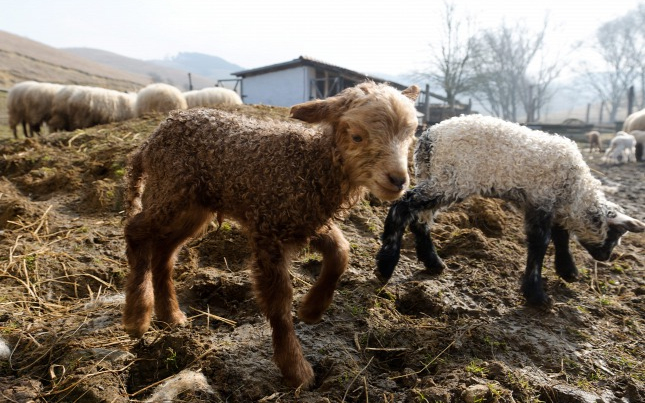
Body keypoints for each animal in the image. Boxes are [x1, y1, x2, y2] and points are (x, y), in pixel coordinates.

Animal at [122, 81, 420, 388]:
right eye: (357, 136)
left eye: (410, 136)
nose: (398, 180)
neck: (308, 165)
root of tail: (151, 140)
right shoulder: (269, 230)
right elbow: (278, 300)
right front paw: (296, 369)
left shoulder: (305, 221)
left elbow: (341, 253)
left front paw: (312, 310)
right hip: (170, 191)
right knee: (135, 232)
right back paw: (137, 316)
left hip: (192, 207)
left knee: (164, 252)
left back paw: (171, 316)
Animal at [378, 113, 644, 306]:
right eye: (615, 236)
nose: (605, 257)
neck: (575, 191)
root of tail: (429, 137)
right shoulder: (541, 200)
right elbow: (541, 243)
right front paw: (537, 295)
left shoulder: (549, 204)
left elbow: (561, 236)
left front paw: (568, 271)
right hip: (451, 178)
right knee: (403, 207)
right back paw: (386, 264)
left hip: (433, 174)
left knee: (420, 219)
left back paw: (432, 262)